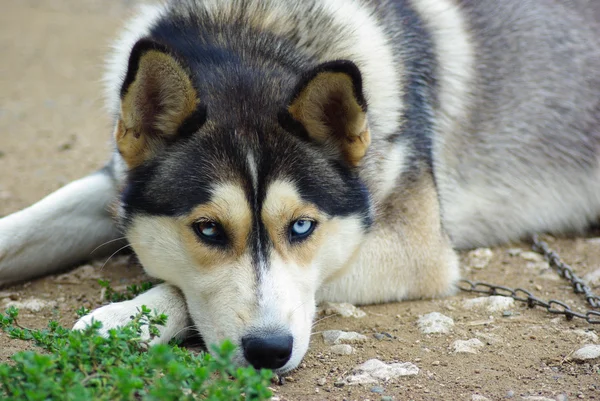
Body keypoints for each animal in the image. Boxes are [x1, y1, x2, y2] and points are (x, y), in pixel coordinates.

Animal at [1, 0, 600, 372]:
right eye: (208, 230)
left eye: (303, 226)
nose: (269, 352)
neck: (251, 31)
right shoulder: (115, 181)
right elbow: (21, 231)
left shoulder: (417, 249)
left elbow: (195, 289)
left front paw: (122, 318)